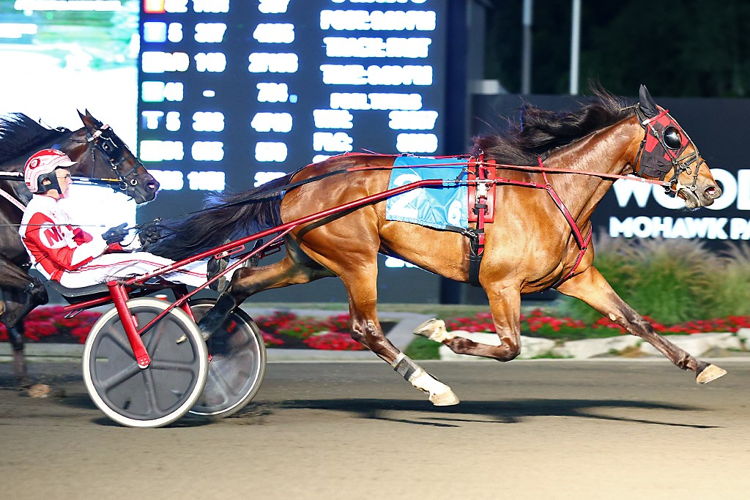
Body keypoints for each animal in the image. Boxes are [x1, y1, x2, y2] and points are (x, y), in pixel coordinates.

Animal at [147, 87, 728, 406]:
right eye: (673, 135)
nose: (713, 187)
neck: (549, 193)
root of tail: (301, 177)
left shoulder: (578, 279)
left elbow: (634, 319)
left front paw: (701, 366)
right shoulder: (500, 283)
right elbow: (509, 347)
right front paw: (446, 334)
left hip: (307, 259)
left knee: (240, 283)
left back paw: (204, 337)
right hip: (356, 258)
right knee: (365, 328)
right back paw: (430, 383)